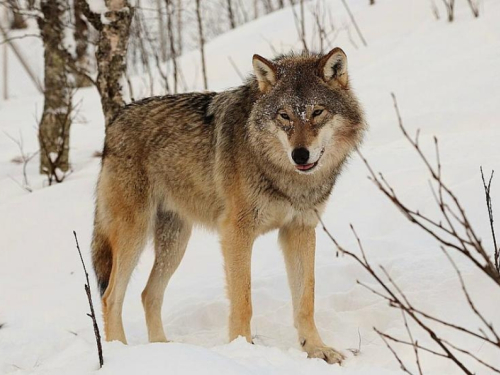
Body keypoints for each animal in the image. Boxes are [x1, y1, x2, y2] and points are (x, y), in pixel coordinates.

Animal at [92, 47, 366, 364]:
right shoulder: (236, 233)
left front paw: (316, 349)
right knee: (111, 296)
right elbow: (243, 301)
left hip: (175, 243)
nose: (300, 155)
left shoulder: (299, 230)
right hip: (134, 236)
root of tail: (114, 121)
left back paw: (165, 350)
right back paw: (119, 353)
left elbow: (305, 300)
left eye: (317, 112)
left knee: (149, 294)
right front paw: (243, 350)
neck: (283, 175)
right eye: (284, 116)